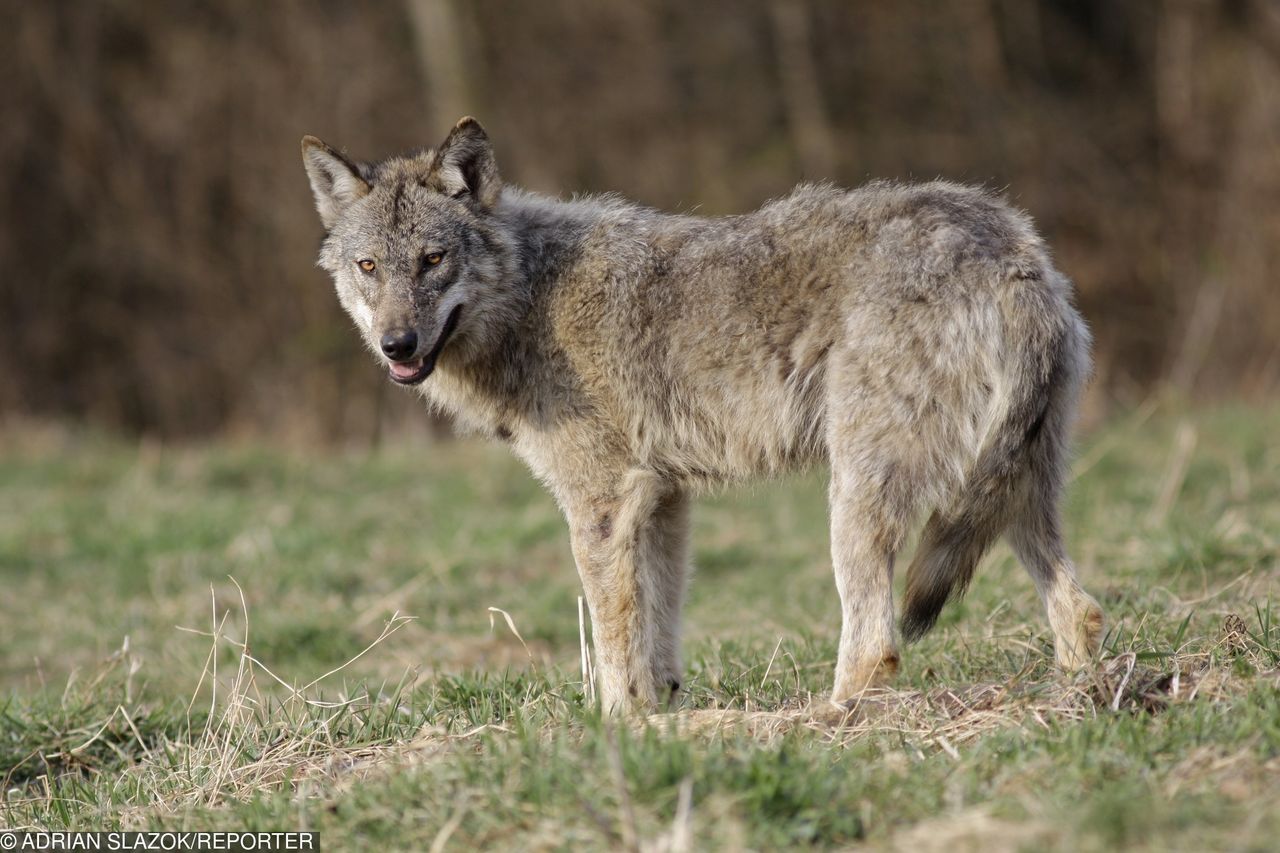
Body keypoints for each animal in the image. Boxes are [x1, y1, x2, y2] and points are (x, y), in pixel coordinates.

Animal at [304, 114, 1105, 712]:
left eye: (433, 260)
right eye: (369, 267)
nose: (397, 345)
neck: (532, 298)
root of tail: (1010, 252)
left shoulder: (601, 504)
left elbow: (615, 642)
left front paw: (615, 731)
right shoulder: (663, 500)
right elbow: (657, 636)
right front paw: (662, 716)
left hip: (857, 494)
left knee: (877, 643)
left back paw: (827, 724)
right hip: (1012, 495)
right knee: (1081, 608)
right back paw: (1079, 699)